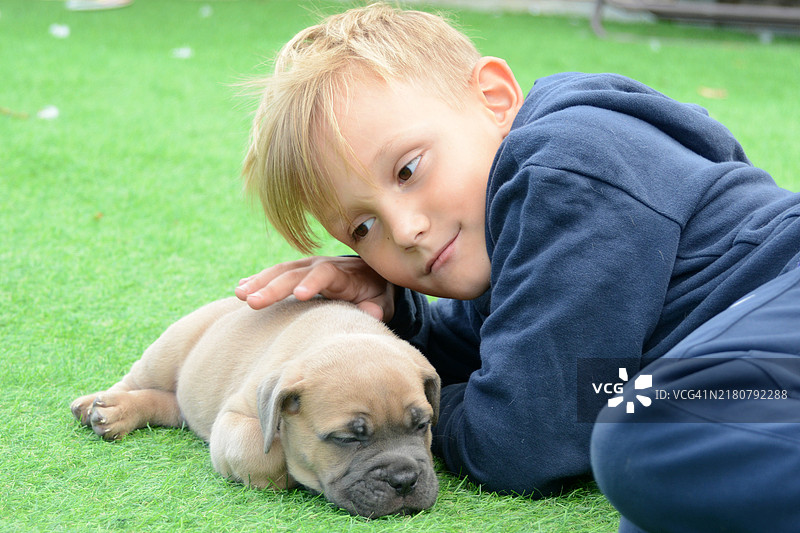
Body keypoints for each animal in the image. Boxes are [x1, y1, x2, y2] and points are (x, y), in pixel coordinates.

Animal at [71, 296, 440, 516]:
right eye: (347, 439)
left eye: (422, 426)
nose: (405, 480)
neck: (339, 333)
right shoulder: (235, 419)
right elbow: (267, 455)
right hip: (170, 347)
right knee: (137, 379)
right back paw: (103, 407)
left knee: (170, 403)